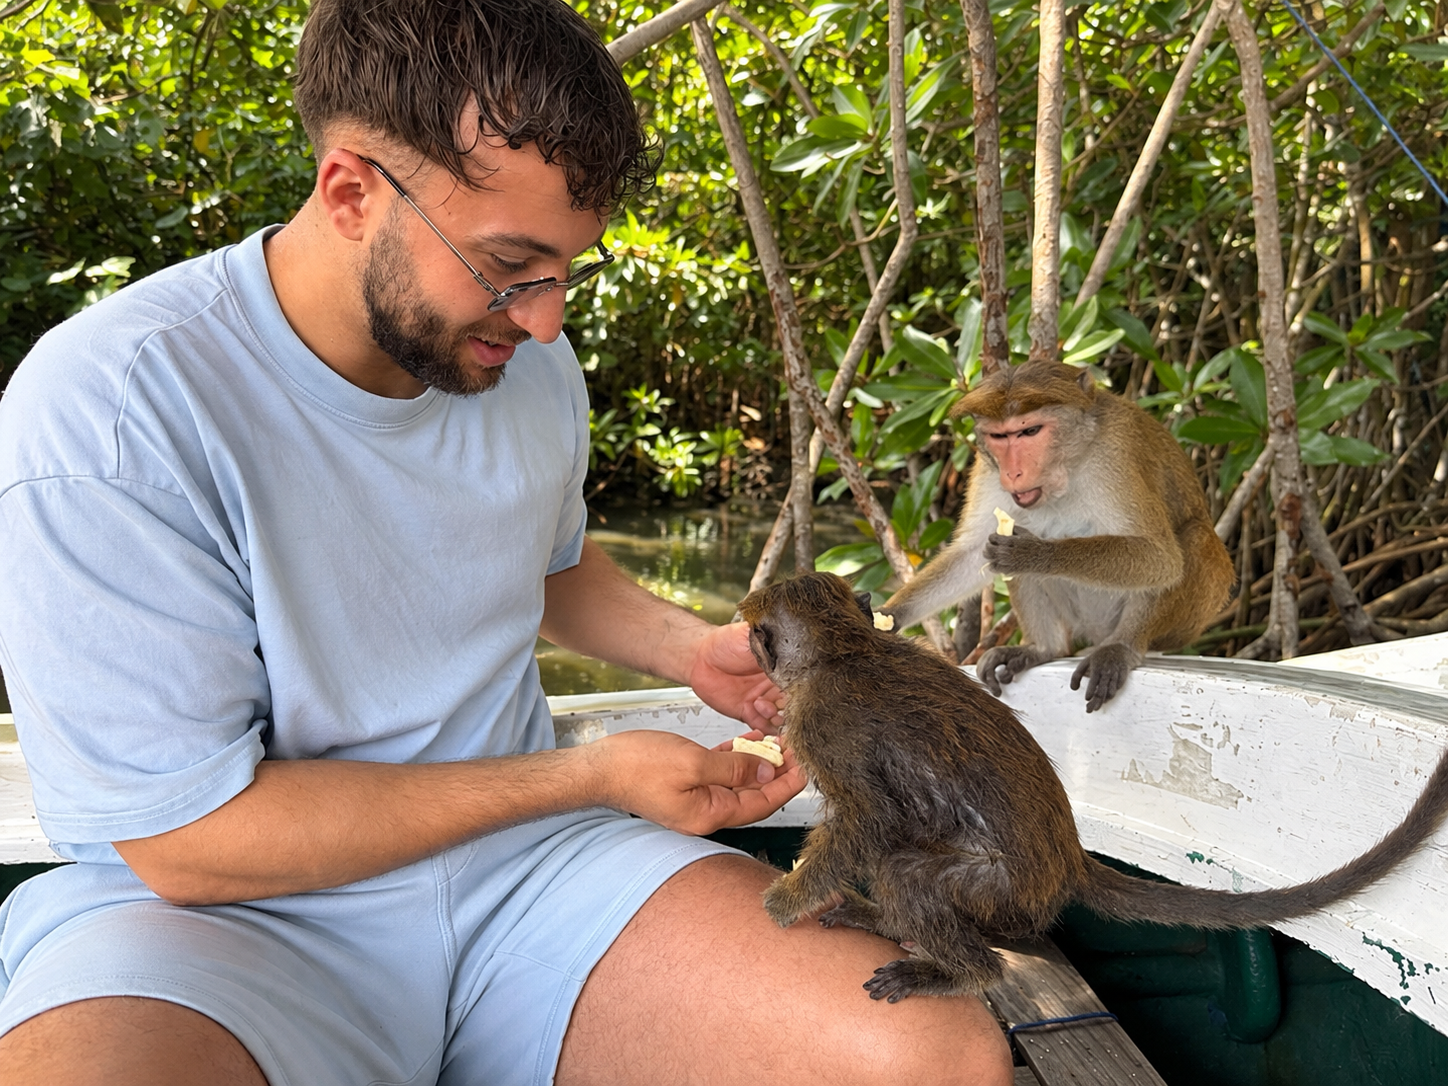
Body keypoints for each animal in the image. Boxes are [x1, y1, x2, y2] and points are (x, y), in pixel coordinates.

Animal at [738, 572, 1448, 1002]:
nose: (749, 651)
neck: (846, 648)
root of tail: (1070, 864)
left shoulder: (823, 720)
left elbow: (871, 821)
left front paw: (784, 901)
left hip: (1006, 896)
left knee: (905, 868)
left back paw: (965, 973)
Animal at [881, 359, 1235, 711]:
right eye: (999, 436)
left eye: (1029, 431)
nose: (1013, 473)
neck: (1069, 463)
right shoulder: (987, 467)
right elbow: (972, 552)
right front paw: (888, 616)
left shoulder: (1116, 453)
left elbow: (1160, 558)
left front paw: (1034, 554)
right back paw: (1043, 648)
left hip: (1181, 627)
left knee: (1195, 539)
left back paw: (1123, 646)